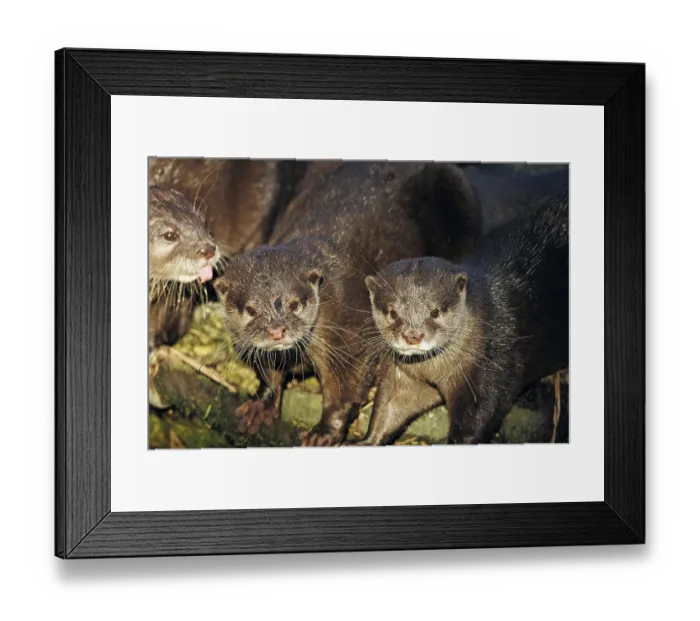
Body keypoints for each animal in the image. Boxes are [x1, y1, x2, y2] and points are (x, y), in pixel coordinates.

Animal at [213, 161, 484, 446]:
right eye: (250, 310)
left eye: (295, 304)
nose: (277, 331)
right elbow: (268, 371)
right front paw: (261, 405)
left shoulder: (351, 331)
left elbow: (346, 387)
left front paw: (323, 432)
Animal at [356, 194, 569, 445]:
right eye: (392, 312)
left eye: (435, 312)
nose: (413, 336)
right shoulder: (402, 375)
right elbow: (388, 410)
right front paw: (365, 441)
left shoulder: (490, 369)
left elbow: (474, 423)